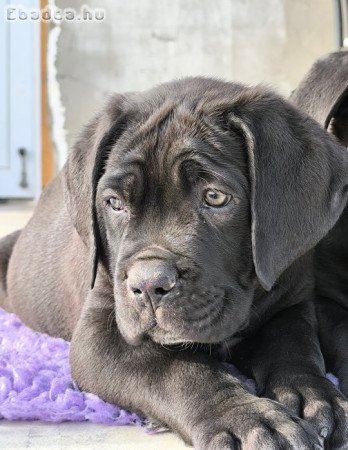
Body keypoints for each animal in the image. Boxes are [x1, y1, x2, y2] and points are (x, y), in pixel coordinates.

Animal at [0, 79, 348, 448]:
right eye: (114, 203)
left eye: (215, 197)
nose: (149, 284)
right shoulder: (101, 336)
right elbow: (179, 372)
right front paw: (250, 421)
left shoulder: (291, 307)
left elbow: (296, 347)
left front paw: (313, 397)